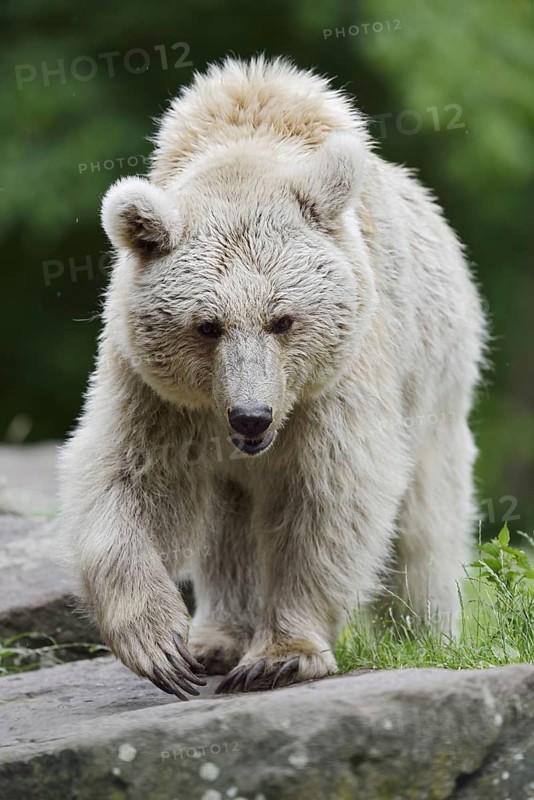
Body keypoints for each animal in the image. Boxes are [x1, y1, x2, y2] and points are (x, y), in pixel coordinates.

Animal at [59, 56, 486, 698]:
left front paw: (282, 654)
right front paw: (161, 645)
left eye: (283, 319)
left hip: (435, 380)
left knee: (424, 526)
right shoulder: (154, 387)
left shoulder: (340, 373)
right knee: (226, 530)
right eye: (207, 325)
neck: (246, 142)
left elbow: (331, 493)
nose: (251, 417)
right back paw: (215, 639)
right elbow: (126, 475)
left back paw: (426, 631)